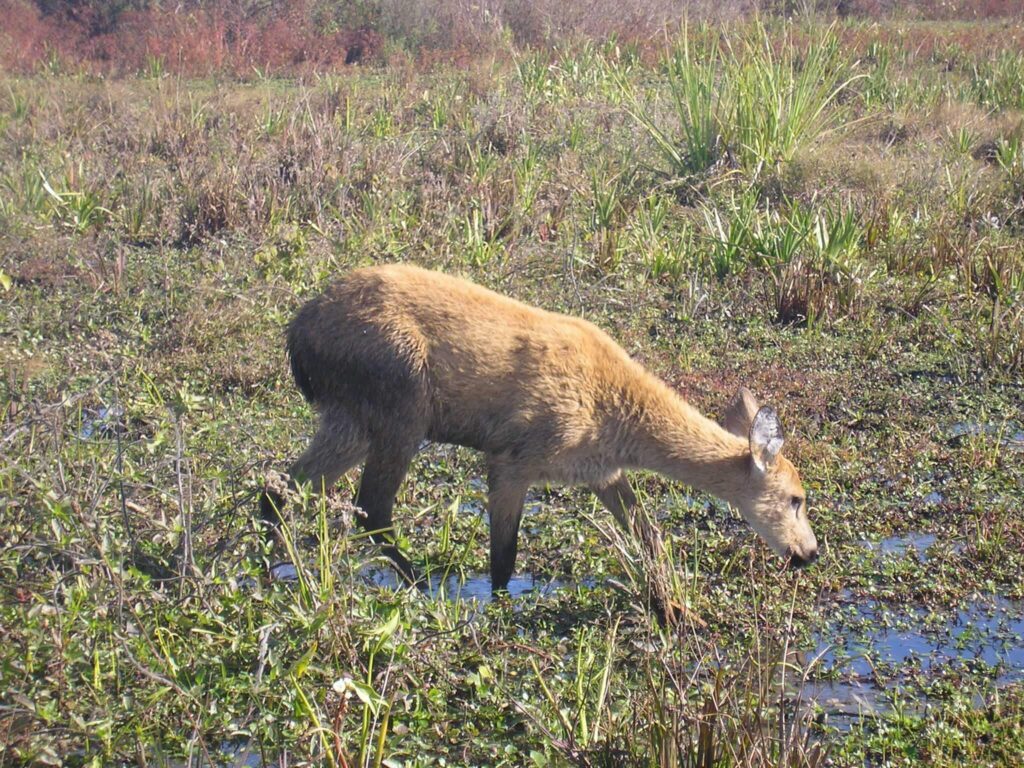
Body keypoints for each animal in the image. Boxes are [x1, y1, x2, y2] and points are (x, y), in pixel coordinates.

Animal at [260, 264, 818, 611]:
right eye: (796, 498)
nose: (809, 552)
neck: (616, 411)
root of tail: (297, 333)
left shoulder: (602, 474)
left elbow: (651, 536)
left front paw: (677, 607)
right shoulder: (513, 459)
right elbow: (503, 560)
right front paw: (497, 611)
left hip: (350, 420)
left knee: (282, 483)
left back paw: (272, 566)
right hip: (401, 413)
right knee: (372, 509)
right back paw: (423, 585)